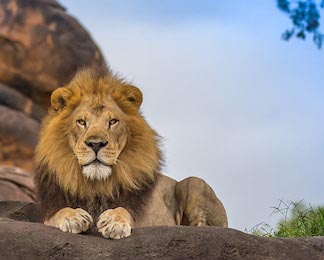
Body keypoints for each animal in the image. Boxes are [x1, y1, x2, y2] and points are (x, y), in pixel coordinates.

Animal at [34, 68, 228, 239]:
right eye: (81, 122)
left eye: (113, 121)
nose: (96, 144)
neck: (97, 185)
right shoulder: (50, 211)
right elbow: (58, 213)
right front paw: (74, 216)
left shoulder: (145, 218)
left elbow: (124, 210)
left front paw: (114, 222)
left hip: (195, 183)